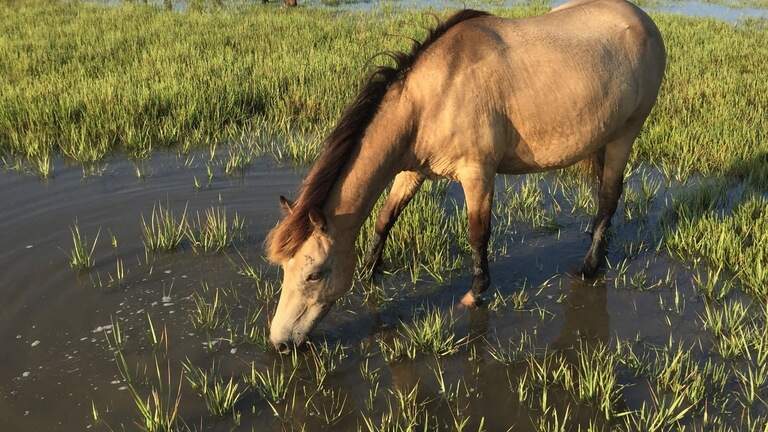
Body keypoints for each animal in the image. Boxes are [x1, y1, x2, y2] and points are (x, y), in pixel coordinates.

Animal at [265, 0, 666, 352]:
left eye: (314, 274)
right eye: (284, 268)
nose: (280, 342)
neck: (433, 98)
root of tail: (641, 19)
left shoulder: (478, 173)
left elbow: (478, 233)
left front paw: (476, 292)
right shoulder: (412, 171)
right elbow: (385, 218)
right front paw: (370, 270)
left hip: (625, 134)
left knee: (609, 195)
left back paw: (590, 266)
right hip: (601, 135)